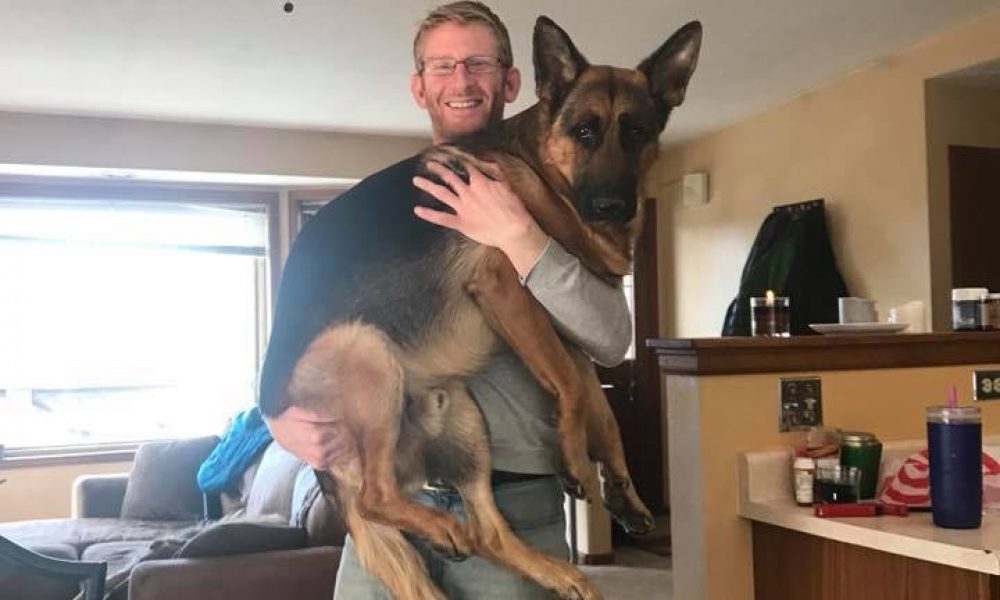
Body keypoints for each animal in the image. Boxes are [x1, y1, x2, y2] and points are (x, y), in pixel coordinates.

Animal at [258, 14, 704, 600]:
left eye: (637, 132)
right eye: (584, 130)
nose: (611, 207)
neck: (540, 169)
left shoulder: (557, 327)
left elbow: (600, 408)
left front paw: (622, 490)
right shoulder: (504, 289)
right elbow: (571, 386)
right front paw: (576, 459)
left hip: (461, 413)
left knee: (487, 533)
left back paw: (554, 569)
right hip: (365, 349)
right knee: (377, 498)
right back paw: (444, 526)